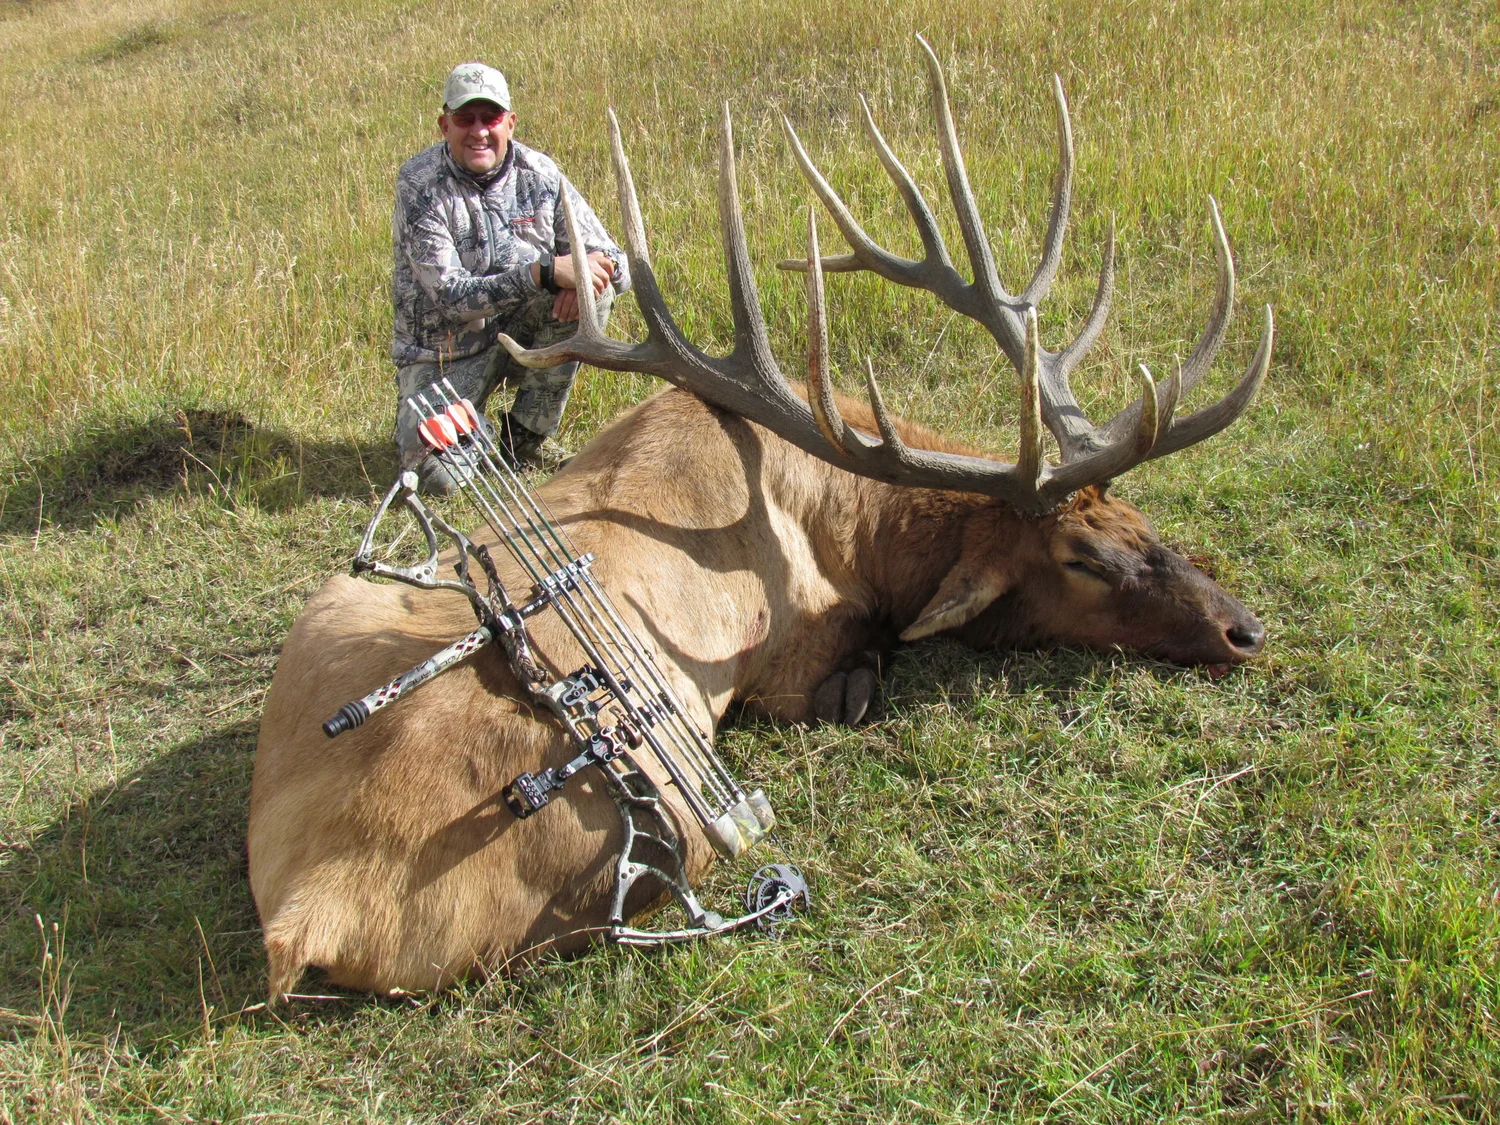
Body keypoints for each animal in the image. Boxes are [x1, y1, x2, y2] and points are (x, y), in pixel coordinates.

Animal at [249, 37, 1273, 999]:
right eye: (1084, 557)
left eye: (1140, 518)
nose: (1244, 629)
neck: (858, 525)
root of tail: (308, 914)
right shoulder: (790, 655)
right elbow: (848, 682)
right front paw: (864, 681)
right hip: (664, 812)